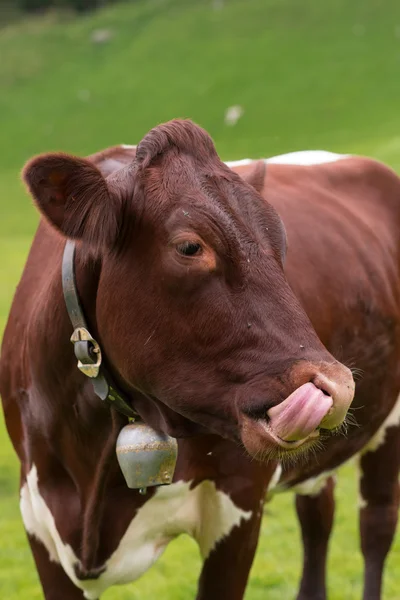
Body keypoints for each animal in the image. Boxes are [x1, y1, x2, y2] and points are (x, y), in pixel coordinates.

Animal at [0, 118, 398, 600]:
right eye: (190, 247)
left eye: (281, 243)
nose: (333, 385)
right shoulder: (40, 518)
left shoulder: (240, 503)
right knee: (318, 514)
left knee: (375, 524)